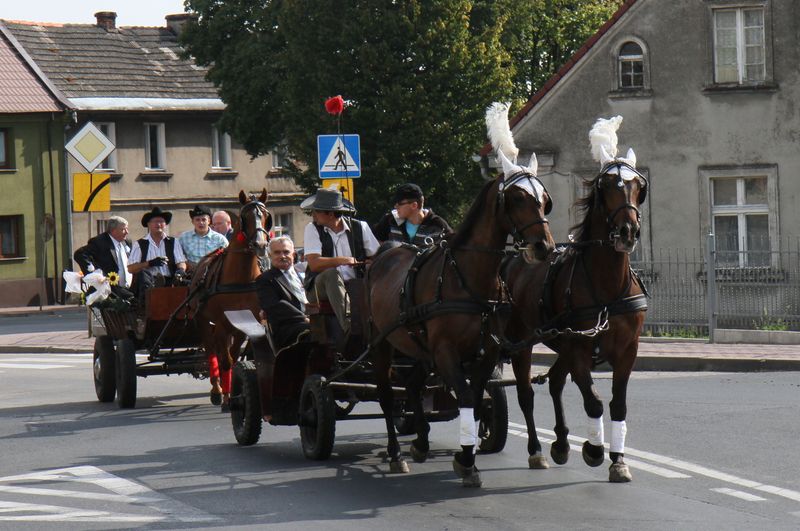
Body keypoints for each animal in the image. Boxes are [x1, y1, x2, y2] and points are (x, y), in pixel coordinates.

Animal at [191, 192, 272, 408]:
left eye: (265, 216)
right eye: (246, 217)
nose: (261, 245)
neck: (240, 279)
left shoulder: (247, 325)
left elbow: (234, 359)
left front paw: (235, 390)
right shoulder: (220, 323)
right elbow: (225, 360)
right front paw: (226, 396)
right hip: (204, 322)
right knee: (212, 352)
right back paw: (217, 390)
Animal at [506, 118, 648, 484]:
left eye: (637, 186)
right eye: (607, 186)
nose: (627, 231)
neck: (607, 285)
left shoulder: (627, 350)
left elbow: (617, 405)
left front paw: (618, 460)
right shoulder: (580, 349)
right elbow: (594, 401)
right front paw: (595, 450)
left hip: (561, 344)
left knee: (555, 382)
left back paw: (559, 442)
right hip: (523, 343)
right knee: (526, 394)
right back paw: (537, 450)